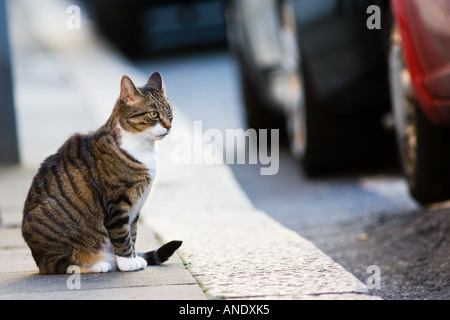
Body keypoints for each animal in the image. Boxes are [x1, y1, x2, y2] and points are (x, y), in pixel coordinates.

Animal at [21, 72, 181, 276]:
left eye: (170, 113)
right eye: (154, 114)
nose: (169, 126)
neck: (142, 146)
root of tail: (38, 260)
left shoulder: (136, 207)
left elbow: (132, 233)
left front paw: (134, 257)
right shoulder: (118, 203)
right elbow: (122, 235)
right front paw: (127, 262)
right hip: (53, 241)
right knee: (59, 265)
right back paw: (97, 265)